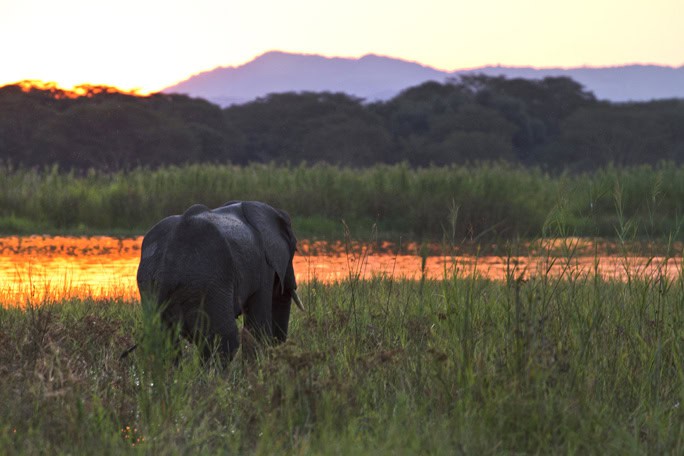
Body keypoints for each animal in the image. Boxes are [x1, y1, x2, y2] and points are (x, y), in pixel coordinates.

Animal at [136, 200, 303, 362]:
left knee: (163, 342)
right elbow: (258, 326)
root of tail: (165, 268)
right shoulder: (263, 265)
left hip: (151, 287)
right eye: (294, 250)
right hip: (207, 285)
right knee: (226, 339)